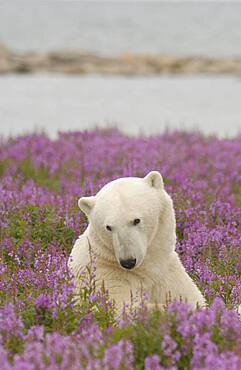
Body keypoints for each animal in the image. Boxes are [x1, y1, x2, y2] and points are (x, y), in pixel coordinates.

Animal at [68, 172, 206, 314]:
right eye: (108, 227)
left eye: (136, 220)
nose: (128, 262)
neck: (147, 269)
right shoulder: (105, 276)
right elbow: (123, 308)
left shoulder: (168, 272)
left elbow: (193, 299)